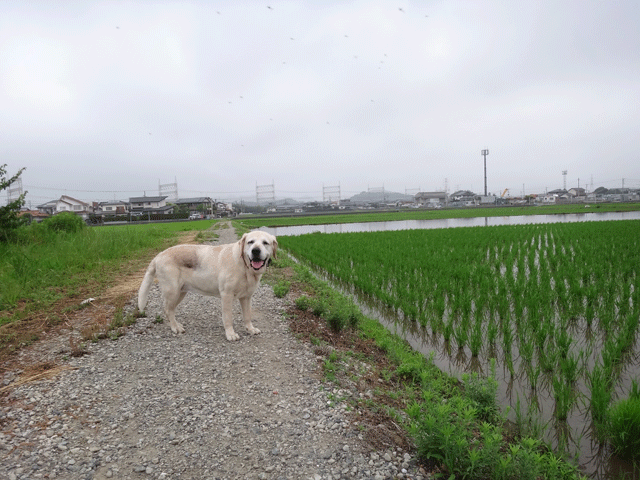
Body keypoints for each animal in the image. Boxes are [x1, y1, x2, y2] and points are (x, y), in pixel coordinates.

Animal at [138, 231, 278, 340]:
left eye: (265, 243)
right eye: (250, 242)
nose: (255, 251)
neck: (245, 267)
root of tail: (159, 255)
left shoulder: (246, 297)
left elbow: (248, 316)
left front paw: (250, 329)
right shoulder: (226, 296)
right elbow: (228, 317)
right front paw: (230, 334)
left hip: (180, 292)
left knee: (170, 310)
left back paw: (177, 325)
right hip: (172, 291)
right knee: (167, 309)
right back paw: (175, 328)